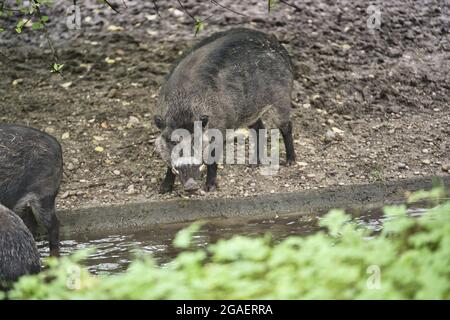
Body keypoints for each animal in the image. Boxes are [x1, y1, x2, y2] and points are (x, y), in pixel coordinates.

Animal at [155, 28, 296, 192]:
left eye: (197, 140)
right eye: (172, 141)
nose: (191, 186)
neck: (183, 107)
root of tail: (277, 45)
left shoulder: (220, 129)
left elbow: (212, 160)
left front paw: (210, 188)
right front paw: (163, 189)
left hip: (282, 99)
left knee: (286, 127)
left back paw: (290, 162)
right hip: (251, 112)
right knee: (260, 127)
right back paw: (253, 164)